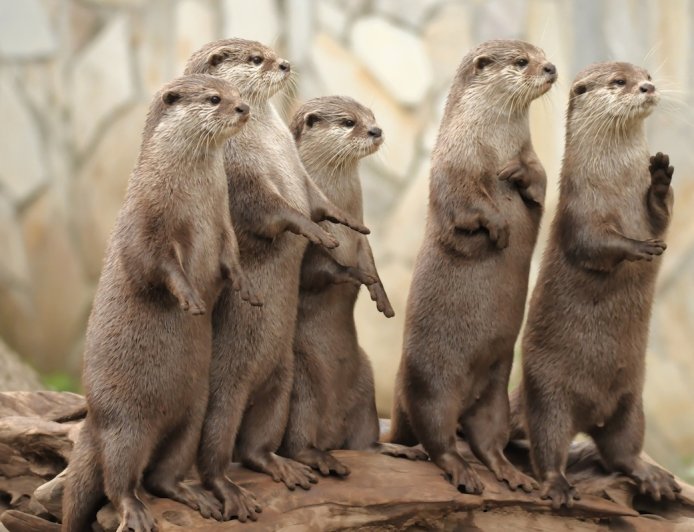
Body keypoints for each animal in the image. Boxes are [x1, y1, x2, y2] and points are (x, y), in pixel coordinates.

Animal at [62, 74, 258, 532]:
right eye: (215, 98)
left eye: (236, 93)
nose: (243, 108)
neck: (194, 198)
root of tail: (92, 420)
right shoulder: (146, 218)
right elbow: (152, 263)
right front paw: (188, 297)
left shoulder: (223, 224)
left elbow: (230, 256)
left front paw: (243, 284)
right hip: (125, 425)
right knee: (119, 480)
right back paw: (135, 512)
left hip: (192, 414)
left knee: (162, 474)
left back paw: (196, 495)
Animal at [183, 39, 370, 513]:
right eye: (255, 58)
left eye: (270, 50)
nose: (285, 63)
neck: (267, 143)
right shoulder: (238, 172)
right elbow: (271, 209)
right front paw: (312, 231)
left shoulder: (299, 173)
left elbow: (317, 200)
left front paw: (341, 220)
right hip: (224, 392)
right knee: (215, 452)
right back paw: (230, 491)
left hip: (283, 381)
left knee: (255, 446)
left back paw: (284, 465)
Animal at [278, 96, 427, 477]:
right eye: (349, 122)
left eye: (372, 116)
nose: (376, 130)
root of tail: (329, 435)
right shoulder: (309, 246)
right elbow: (324, 272)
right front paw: (358, 277)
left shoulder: (362, 236)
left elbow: (370, 258)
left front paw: (382, 296)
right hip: (301, 389)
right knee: (295, 443)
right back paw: (321, 460)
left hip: (366, 386)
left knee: (364, 442)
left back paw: (395, 449)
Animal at [389, 40, 557, 494]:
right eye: (522, 61)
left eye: (541, 53)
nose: (552, 67)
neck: (491, 146)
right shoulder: (452, 166)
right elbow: (467, 204)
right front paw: (499, 227)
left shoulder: (532, 156)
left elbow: (540, 179)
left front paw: (519, 175)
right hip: (430, 382)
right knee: (438, 439)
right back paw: (461, 474)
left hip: (495, 391)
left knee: (487, 440)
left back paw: (513, 474)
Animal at [513, 62, 680, 508]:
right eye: (619, 82)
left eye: (646, 73)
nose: (647, 86)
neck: (617, 186)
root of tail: (594, 411)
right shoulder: (577, 208)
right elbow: (593, 243)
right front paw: (637, 247)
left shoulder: (648, 212)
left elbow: (662, 215)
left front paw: (660, 176)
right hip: (547, 393)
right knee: (548, 444)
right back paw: (557, 486)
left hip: (632, 400)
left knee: (621, 451)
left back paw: (652, 476)